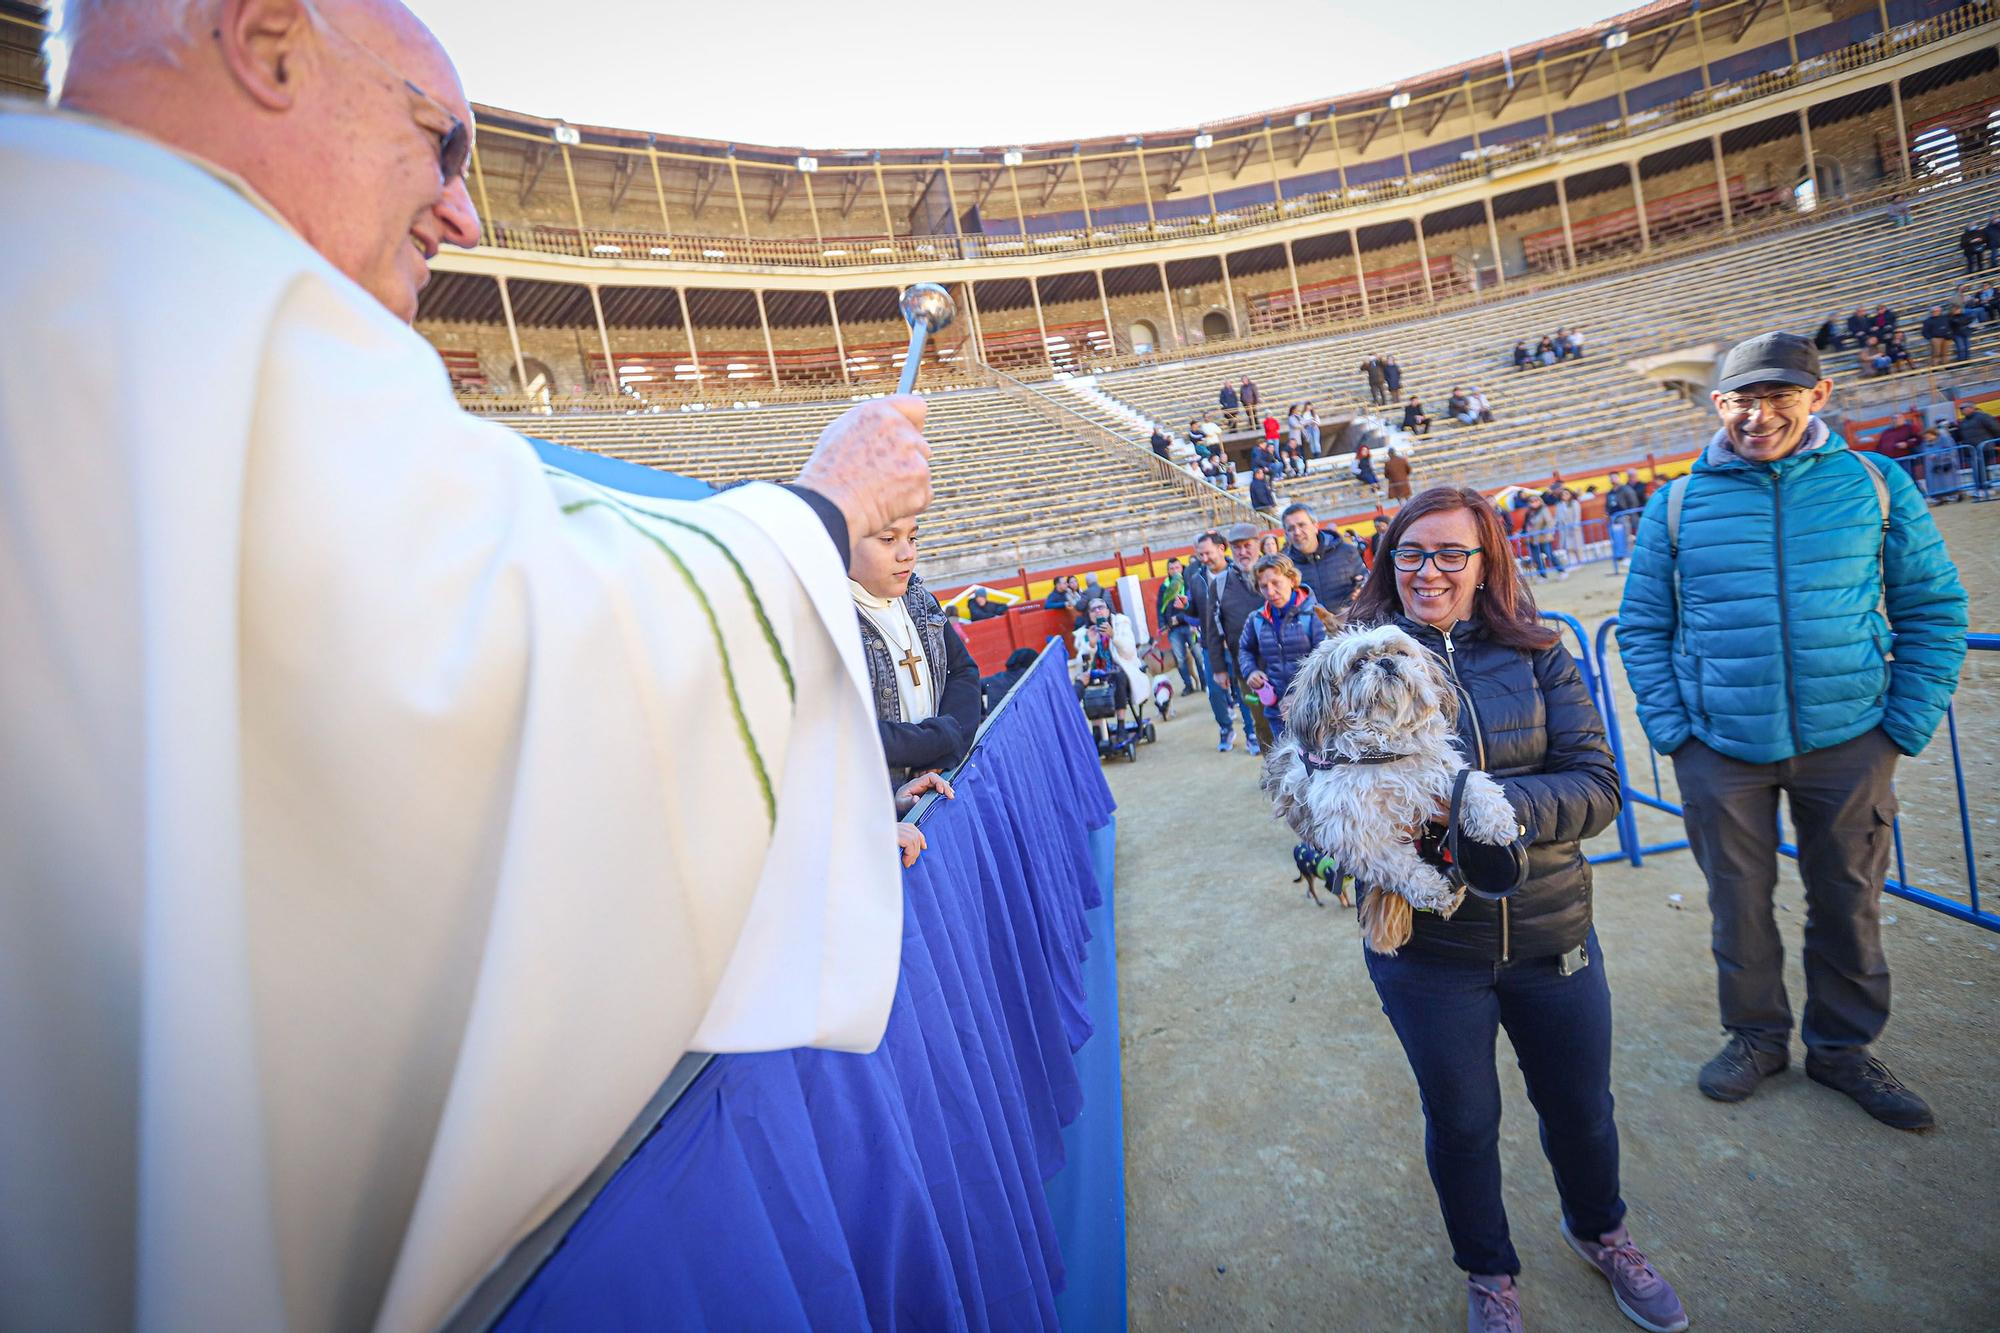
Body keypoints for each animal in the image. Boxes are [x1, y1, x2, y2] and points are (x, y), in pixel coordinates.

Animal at [1256, 616, 1520, 948]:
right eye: (1357, 664)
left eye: (1400, 652)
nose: (1386, 662)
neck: (1384, 750)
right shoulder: (1355, 833)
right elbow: (1399, 865)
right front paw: (1432, 890)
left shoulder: (1437, 771)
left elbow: (1472, 781)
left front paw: (1495, 820)